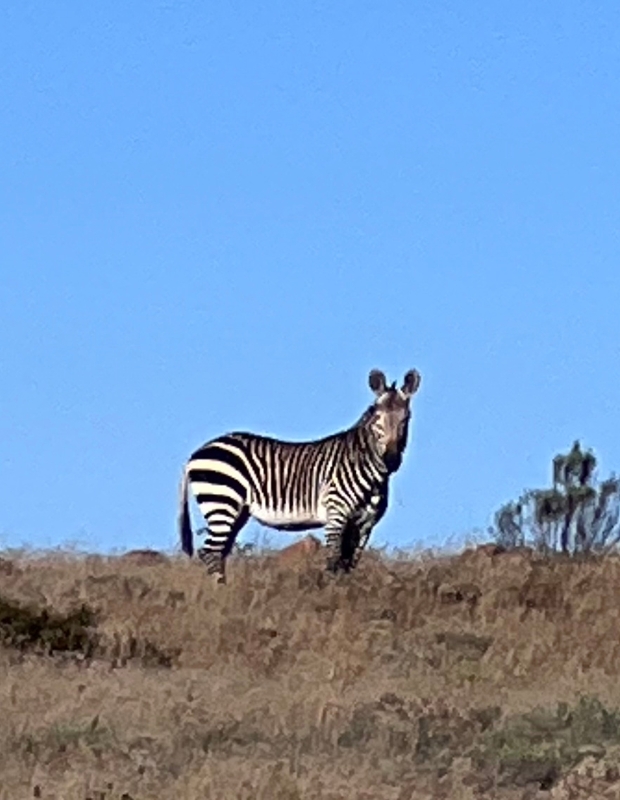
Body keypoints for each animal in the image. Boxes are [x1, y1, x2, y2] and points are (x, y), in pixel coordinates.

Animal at [178, 368, 421, 583]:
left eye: (406, 418)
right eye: (377, 417)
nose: (391, 459)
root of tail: (195, 454)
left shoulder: (365, 525)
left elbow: (349, 565)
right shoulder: (336, 515)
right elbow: (333, 562)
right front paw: (331, 598)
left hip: (237, 511)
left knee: (219, 552)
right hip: (222, 501)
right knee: (210, 552)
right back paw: (221, 594)